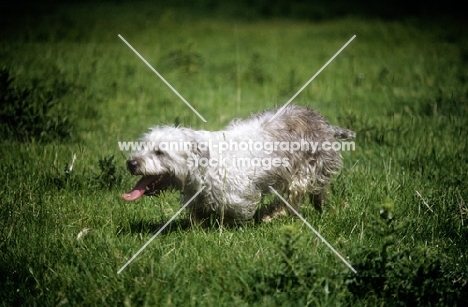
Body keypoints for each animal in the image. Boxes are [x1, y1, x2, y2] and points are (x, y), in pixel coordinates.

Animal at [120, 105, 354, 224]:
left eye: (160, 152)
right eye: (144, 146)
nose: (131, 163)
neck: (202, 165)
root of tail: (323, 123)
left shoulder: (238, 196)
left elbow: (238, 214)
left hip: (304, 171)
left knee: (293, 198)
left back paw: (272, 215)